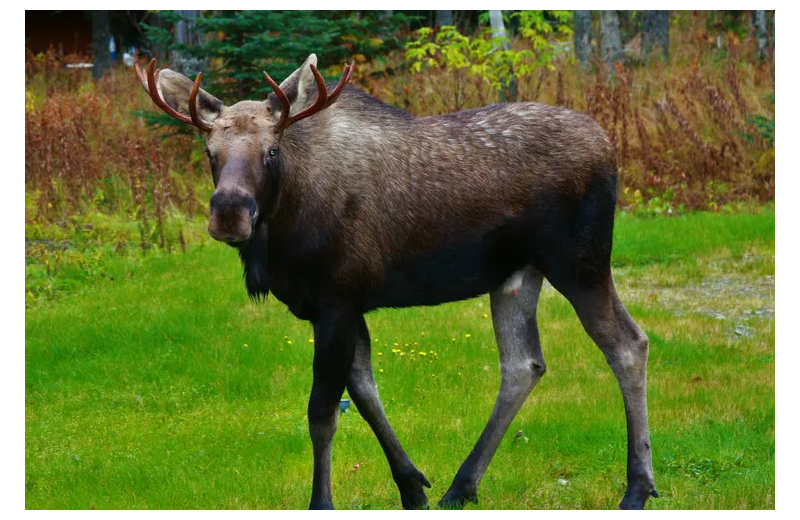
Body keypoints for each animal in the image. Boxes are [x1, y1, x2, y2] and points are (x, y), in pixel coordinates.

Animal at [136, 53, 656, 512]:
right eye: (210, 153)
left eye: (272, 150)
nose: (229, 211)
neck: (279, 233)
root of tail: (608, 144)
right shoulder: (335, 309)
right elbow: (365, 396)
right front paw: (412, 487)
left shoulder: (338, 301)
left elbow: (322, 412)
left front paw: (322, 501)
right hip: (515, 274)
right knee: (522, 364)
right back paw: (461, 486)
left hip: (580, 261)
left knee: (628, 343)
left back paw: (637, 487)